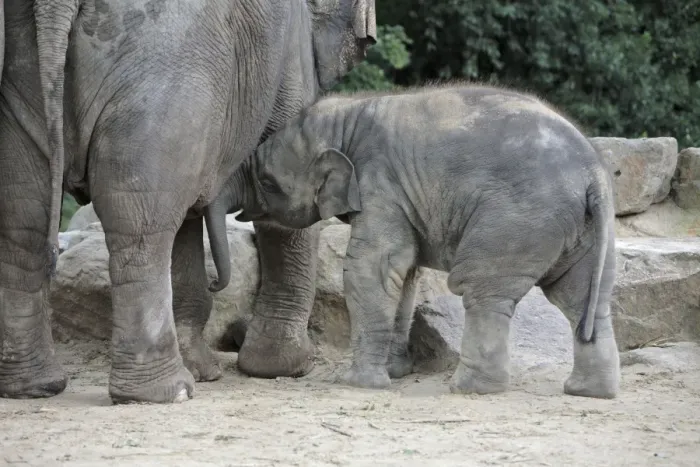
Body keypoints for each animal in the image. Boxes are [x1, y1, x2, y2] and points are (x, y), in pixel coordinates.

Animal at [0, 0, 375, 404]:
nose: (216, 283)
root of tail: (52, 6)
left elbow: (185, 219)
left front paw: (207, 369)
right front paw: (287, 367)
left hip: (24, 76)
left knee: (24, 218)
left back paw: (34, 387)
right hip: (164, 72)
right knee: (139, 226)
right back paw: (166, 391)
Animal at [205, 84, 621, 399]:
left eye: (267, 181)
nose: (211, 283)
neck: (348, 115)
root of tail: (594, 175)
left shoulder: (380, 183)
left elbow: (371, 269)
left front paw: (359, 384)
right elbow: (405, 275)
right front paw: (395, 372)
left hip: (517, 222)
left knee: (483, 291)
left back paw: (470, 388)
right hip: (584, 231)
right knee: (584, 299)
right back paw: (587, 391)